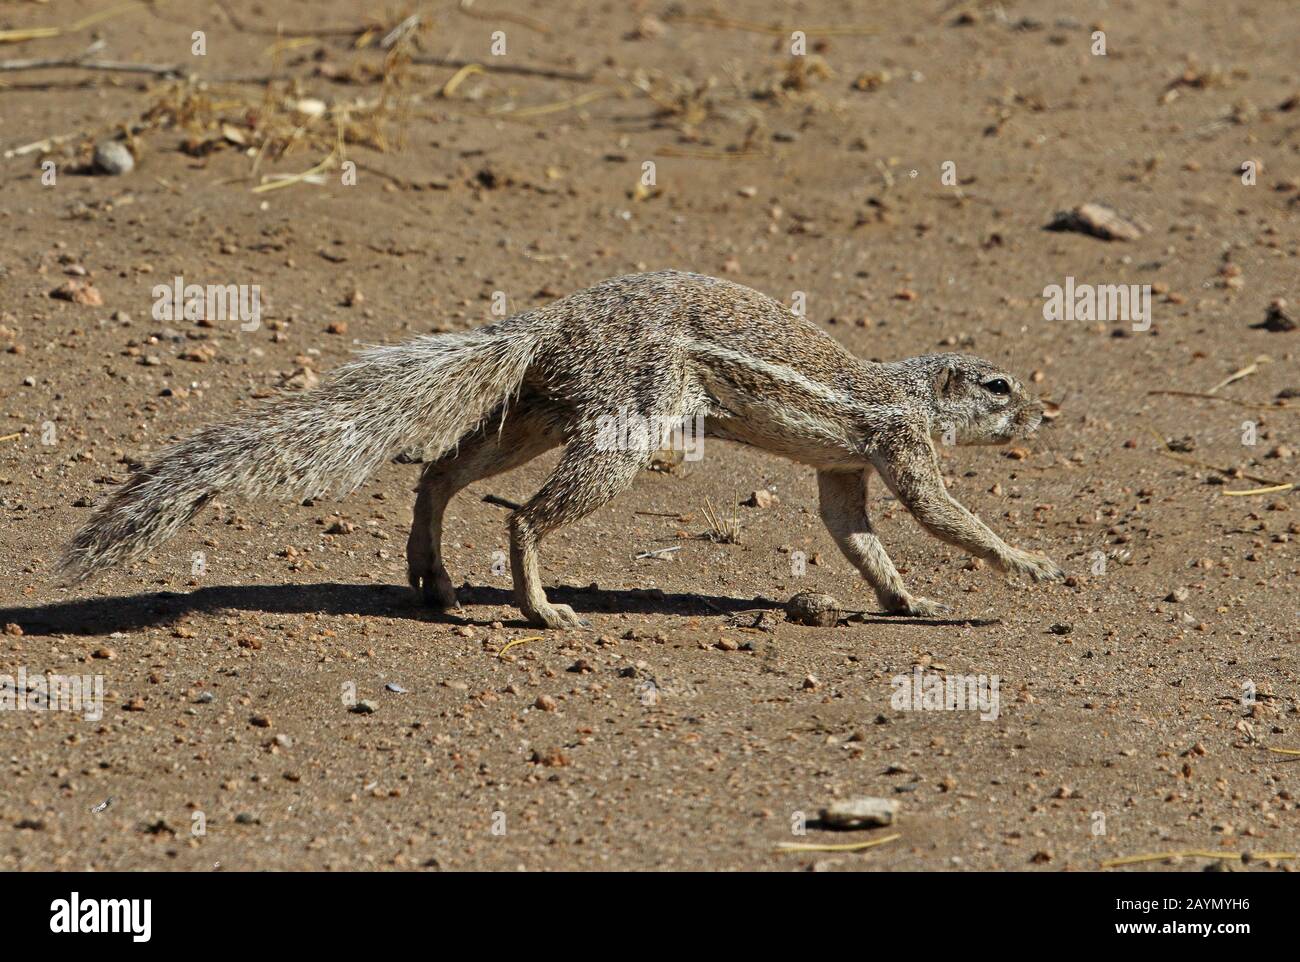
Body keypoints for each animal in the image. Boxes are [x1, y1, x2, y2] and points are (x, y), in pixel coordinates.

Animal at [60, 270, 1063, 628]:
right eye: (999, 387)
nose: (1043, 419)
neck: (906, 386)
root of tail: (557, 318)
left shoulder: (845, 473)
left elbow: (860, 541)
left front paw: (911, 600)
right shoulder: (902, 446)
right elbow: (946, 517)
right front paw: (1032, 566)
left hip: (544, 411)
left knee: (441, 471)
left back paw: (433, 575)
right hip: (621, 430)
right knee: (524, 518)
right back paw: (538, 607)